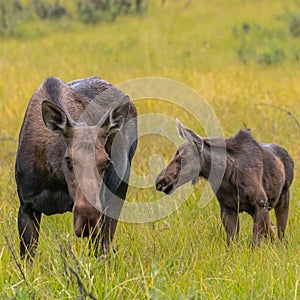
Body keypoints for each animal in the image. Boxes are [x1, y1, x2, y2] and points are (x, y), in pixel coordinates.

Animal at [15, 76, 138, 258]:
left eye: (107, 161)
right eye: (68, 159)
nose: (88, 218)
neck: (55, 179)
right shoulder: (26, 205)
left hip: (120, 188)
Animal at [156, 119, 294, 246]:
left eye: (182, 159)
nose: (159, 181)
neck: (228, 175)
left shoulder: (260, 203)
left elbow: (255, 242)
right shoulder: (228, 208)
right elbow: (231, 242)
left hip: (283, 198)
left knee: (281, 234)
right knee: (272, 229)